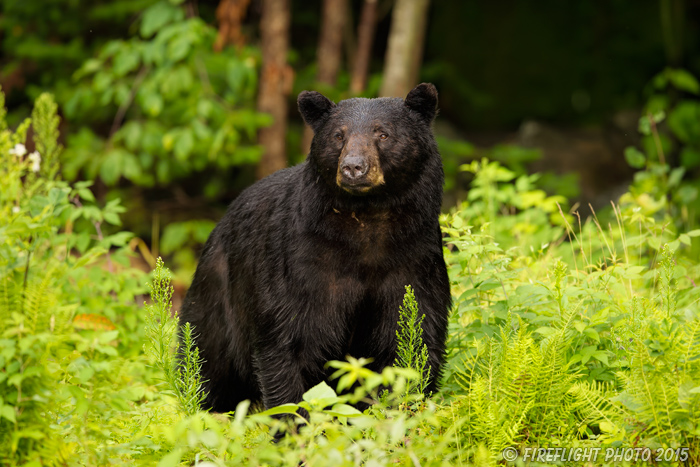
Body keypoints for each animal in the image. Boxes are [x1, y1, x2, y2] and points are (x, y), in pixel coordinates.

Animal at [180, 83, 452, 414]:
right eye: (338, 135)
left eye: (383, 133)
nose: (353, 167)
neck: (367, 224)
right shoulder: (301, 266)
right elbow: (289, 338)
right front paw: (290, 419)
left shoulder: (415, 260)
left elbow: (413, 336)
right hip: (217, 297)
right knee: (206, 358)